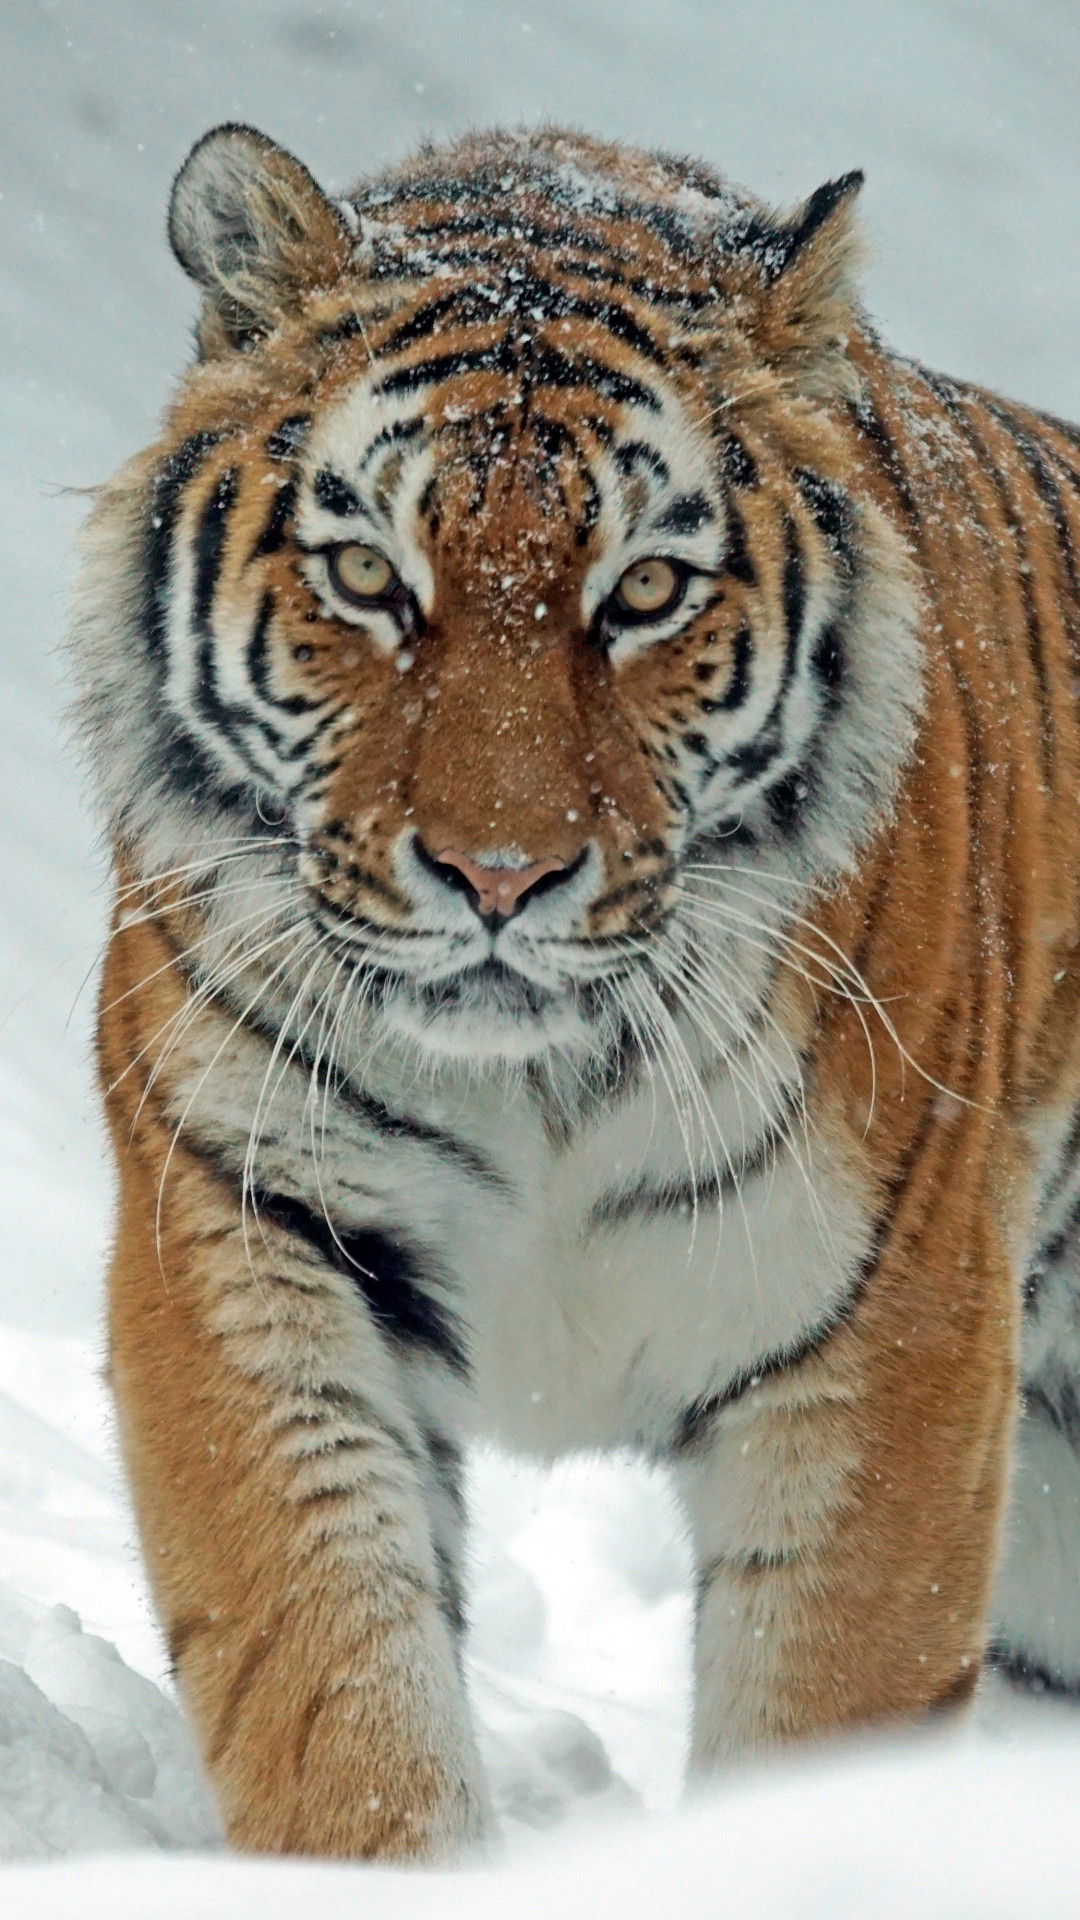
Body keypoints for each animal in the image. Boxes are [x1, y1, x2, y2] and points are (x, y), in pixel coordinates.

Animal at [70, 118, 1080, 1860]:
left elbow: (823, 1721)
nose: (498, 878)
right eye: (367, 575)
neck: (541, 1083)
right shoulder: (247, 1225)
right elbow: (331, 1687)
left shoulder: (897, 1330)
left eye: (646, 594)